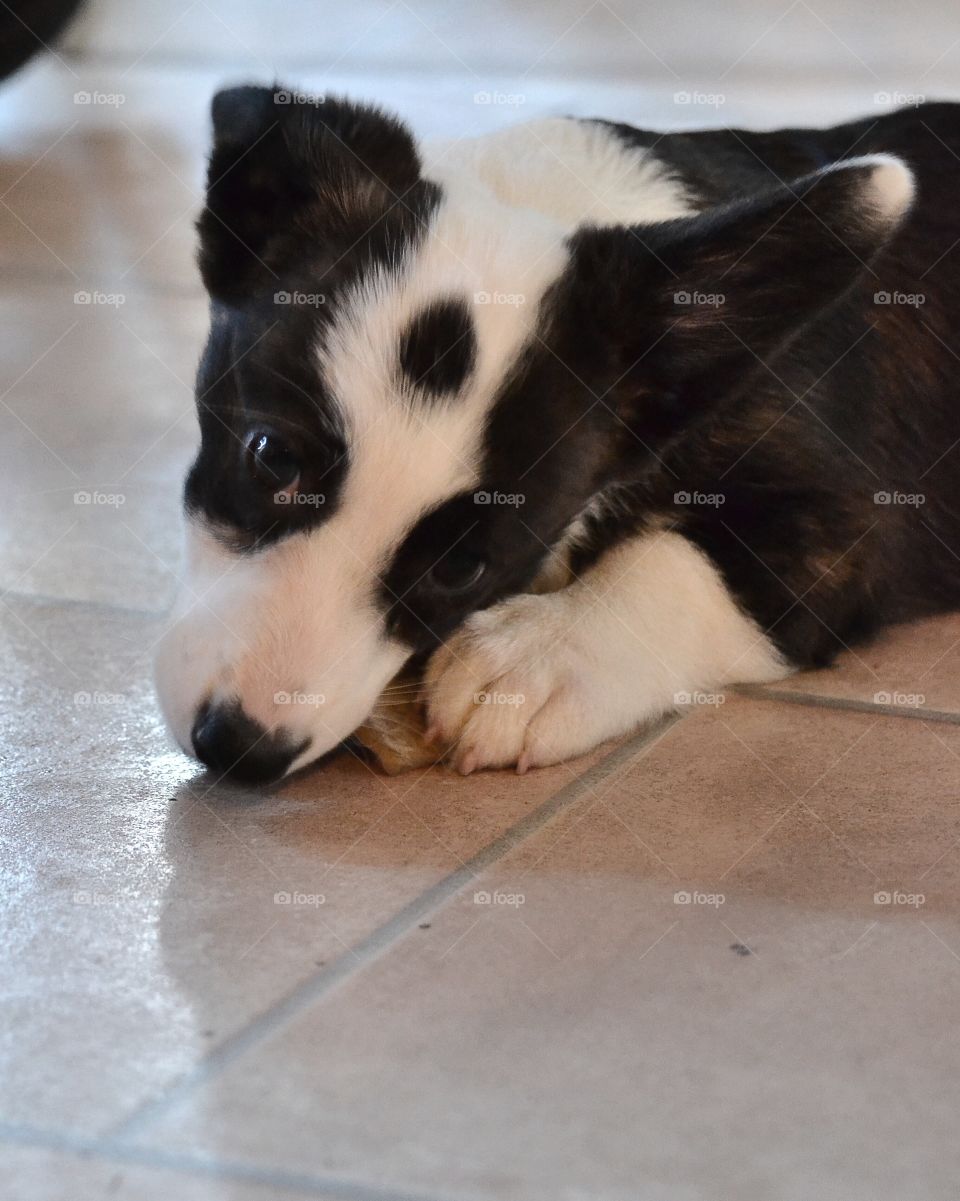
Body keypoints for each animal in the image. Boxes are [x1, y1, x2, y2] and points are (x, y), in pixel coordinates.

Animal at [151, 88, 960, 787]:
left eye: (463, 566)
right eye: (270, 457)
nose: (239, 749)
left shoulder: (851, 527)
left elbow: (675, 560)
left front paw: (535, 656)